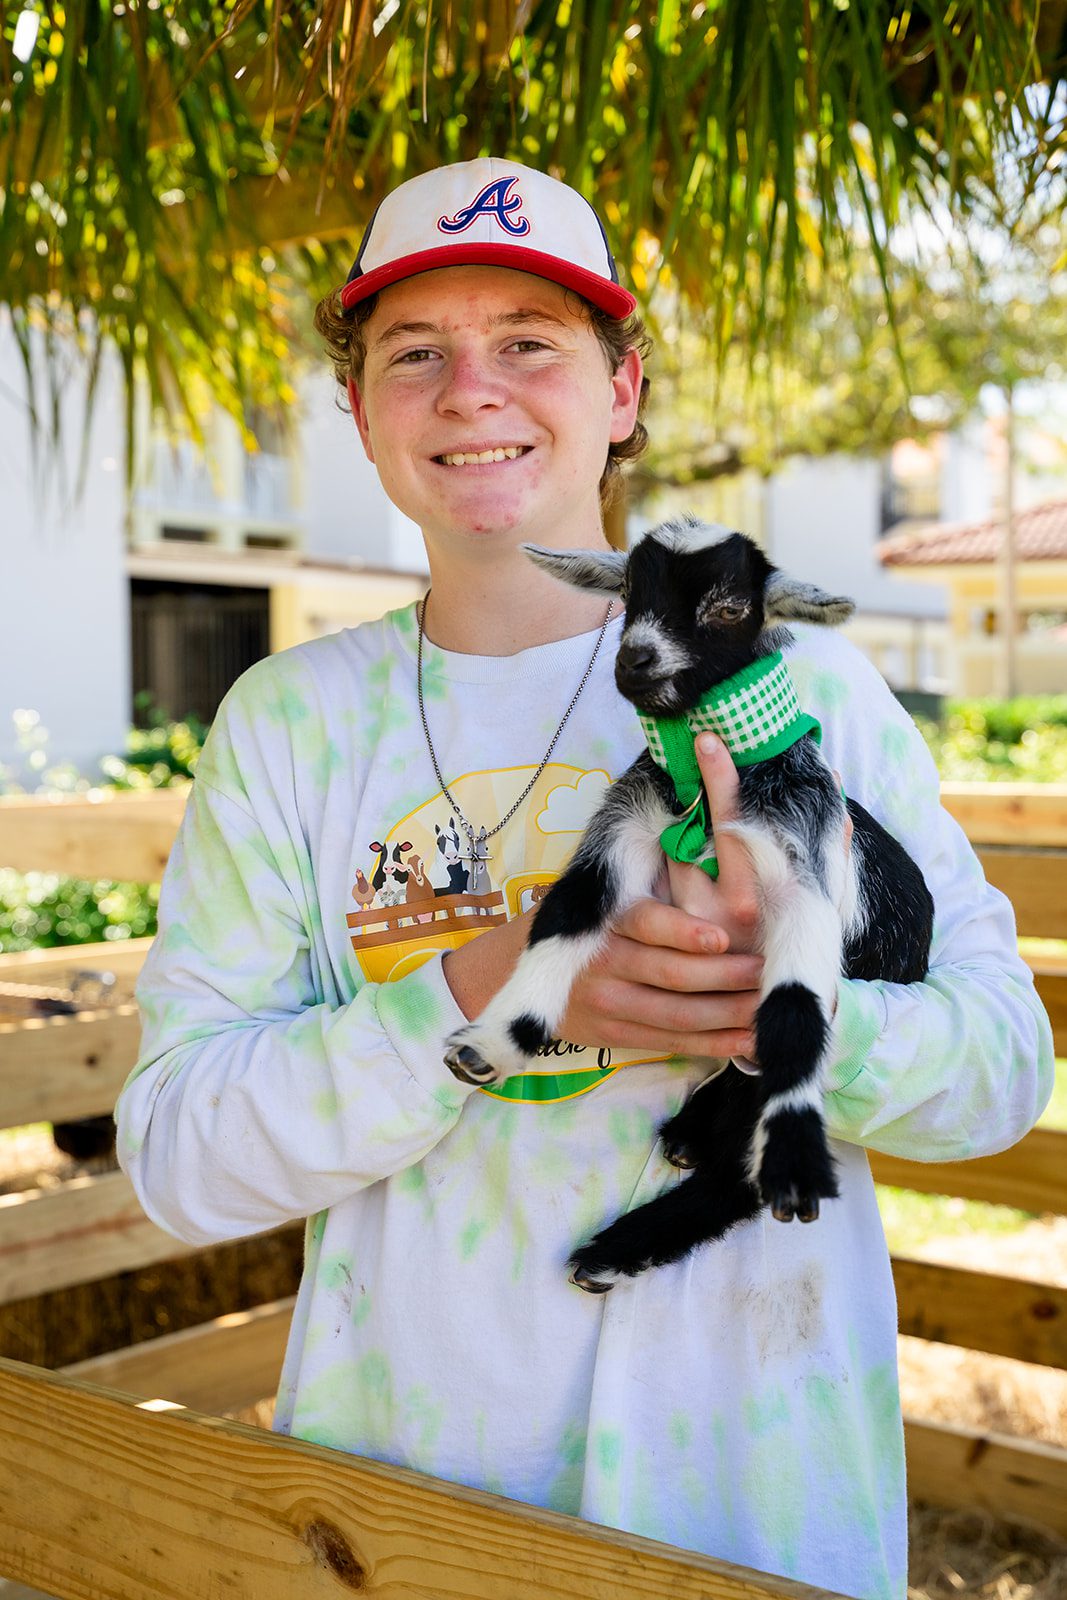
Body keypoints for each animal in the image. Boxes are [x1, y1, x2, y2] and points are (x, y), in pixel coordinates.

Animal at [443, 518, 934, 1291]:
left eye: (729, 607)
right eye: (627, 594)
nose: (636, 660)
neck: (702, 791)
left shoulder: (800, 871)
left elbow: (795, 1007)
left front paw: (794, 1152)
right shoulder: (624, 832)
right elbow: (563, 920)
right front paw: (489, 1045)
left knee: (742, 1171)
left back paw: (621, 1246)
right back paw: (687, 1138)